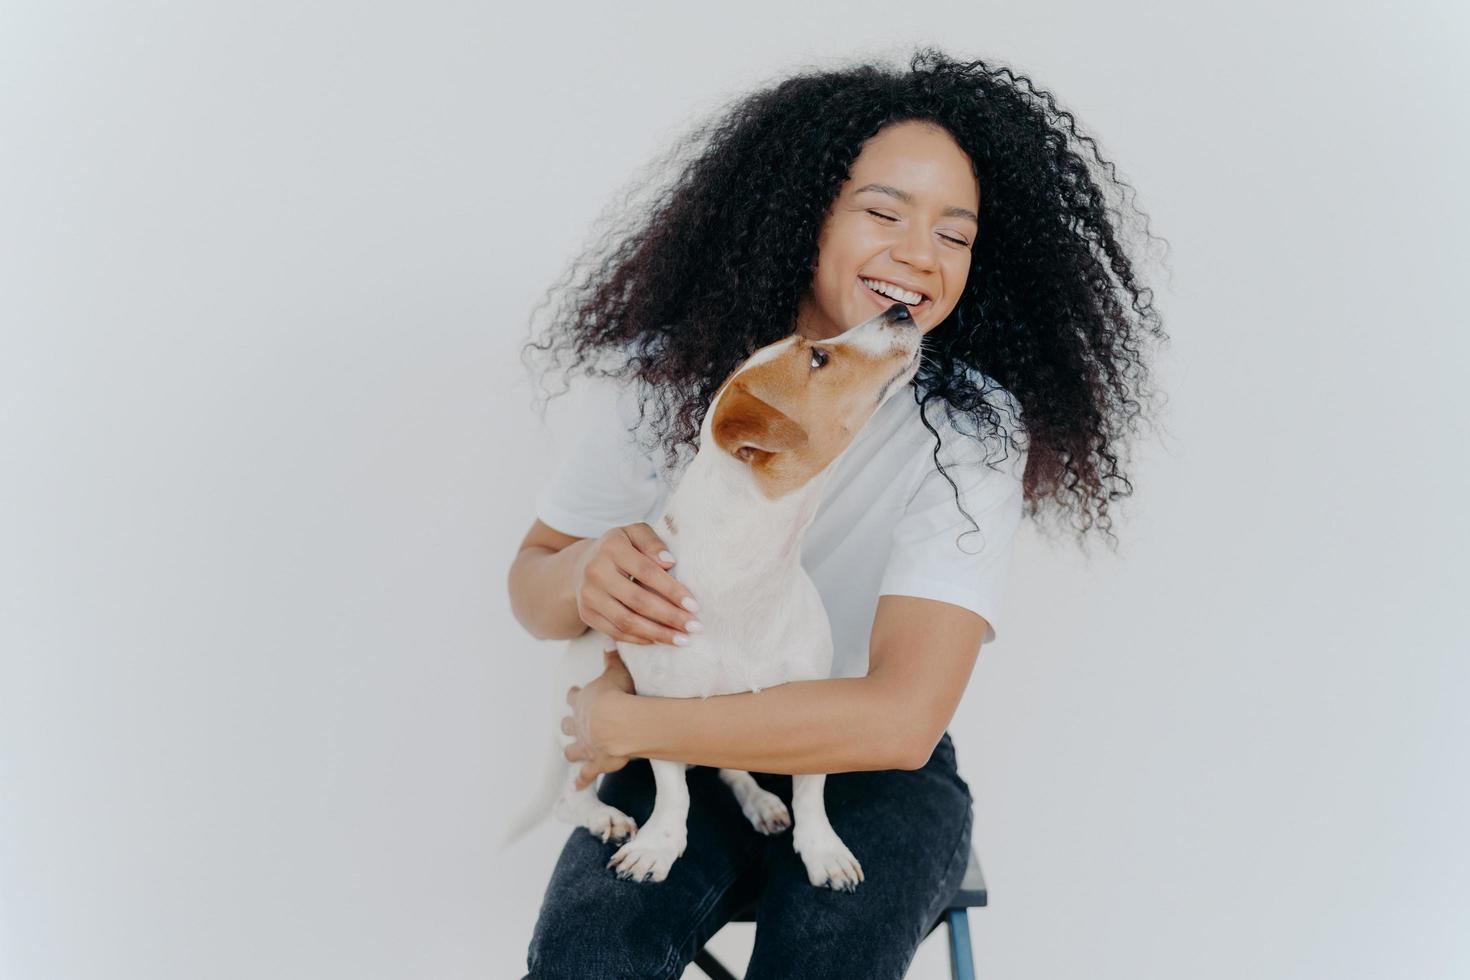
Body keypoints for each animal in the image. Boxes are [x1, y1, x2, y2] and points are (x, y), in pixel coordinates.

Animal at [546, 302, 917, 893]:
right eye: (818, 357)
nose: (900, 309)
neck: (750, 572)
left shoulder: (813, 702)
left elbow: (811, 787)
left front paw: (822, 849)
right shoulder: (657, 708)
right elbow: (673, 790)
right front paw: (659, 845)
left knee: (730, 765)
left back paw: (759, 800)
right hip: (579, 723)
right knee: (571, 794)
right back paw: (601, 816)